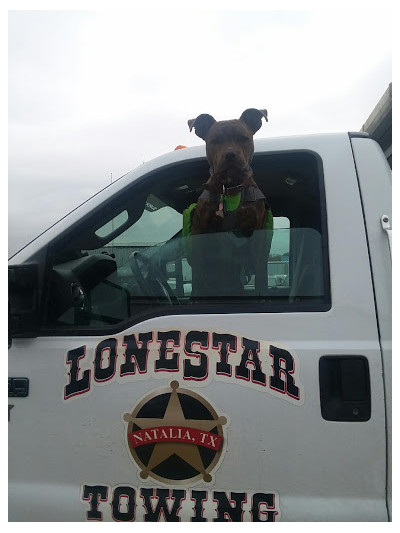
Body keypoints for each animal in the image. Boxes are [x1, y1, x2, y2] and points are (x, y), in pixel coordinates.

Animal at [188, 108, 268, 237]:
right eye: (215, 141)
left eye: (243, 138)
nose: (230, 154)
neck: (230, 186)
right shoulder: (200, 226)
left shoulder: (258, 225)